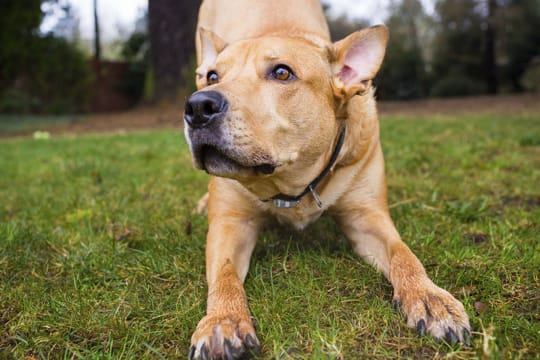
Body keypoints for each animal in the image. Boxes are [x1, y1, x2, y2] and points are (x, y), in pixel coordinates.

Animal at [184, 1, 470, 358]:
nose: (198, 106)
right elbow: (224, 276)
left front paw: (429, 297)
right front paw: (222, 321)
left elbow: (405, 256)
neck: (291, 180)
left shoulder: (367, 217)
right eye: (213, 76)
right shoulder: (230, 223)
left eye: (282, 73)